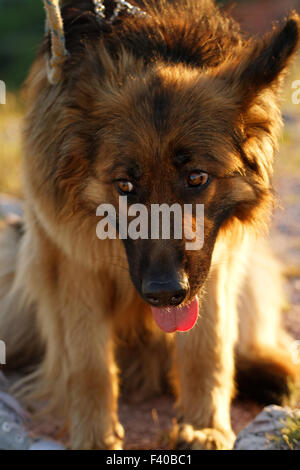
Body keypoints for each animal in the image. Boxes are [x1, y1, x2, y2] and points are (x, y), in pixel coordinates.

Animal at [0, 0, 300, 450]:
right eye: (125, 185)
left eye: (197, 177)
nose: (163, 293)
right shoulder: (71, 259)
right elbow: (87, 362)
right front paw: (94, 436)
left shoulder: (214, 264)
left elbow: (208, 348)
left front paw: (205, 427)